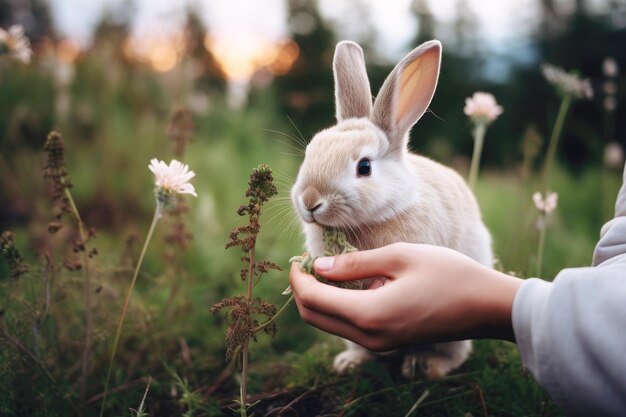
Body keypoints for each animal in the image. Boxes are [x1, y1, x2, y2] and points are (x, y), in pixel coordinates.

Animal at [292, 40, 492, 378]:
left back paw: (427, 366)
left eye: (364, 167)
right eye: (309, 153)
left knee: (455, 353)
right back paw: (351, 363)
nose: (310, 200)